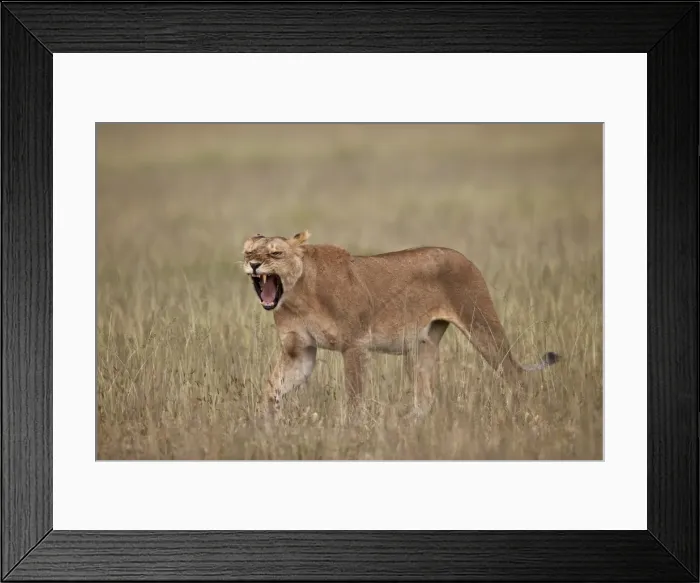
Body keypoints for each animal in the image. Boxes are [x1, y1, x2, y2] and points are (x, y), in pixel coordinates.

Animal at [242, 230, 559, 414]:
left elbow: (354, 397)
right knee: (425, 396)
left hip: (481, 322)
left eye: (275, 253)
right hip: (425, 344)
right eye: (248, 252)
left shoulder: (355, 345)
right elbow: (272, 388)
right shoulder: (300, 352)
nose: (254, 265)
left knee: (513, 373)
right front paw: (264, 425)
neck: (297, 294)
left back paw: (521, 414)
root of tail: (462, 256)